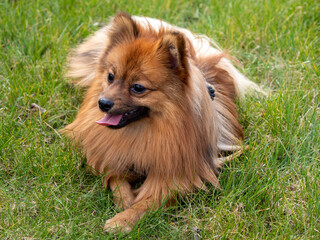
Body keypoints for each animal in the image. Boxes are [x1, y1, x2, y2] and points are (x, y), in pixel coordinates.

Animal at [62, 11, 262, 232]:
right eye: (111, 77)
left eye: (138, 88)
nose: (103, 103)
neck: (143, 132)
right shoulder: (112, 157)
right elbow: (116, 180)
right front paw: (125, 201)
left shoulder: (179, 176)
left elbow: (149, 202)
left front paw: (124, 219)